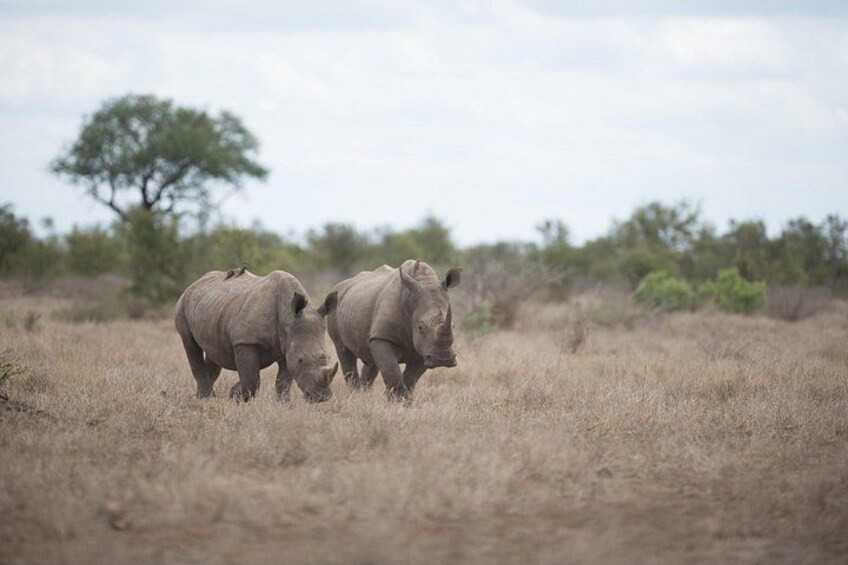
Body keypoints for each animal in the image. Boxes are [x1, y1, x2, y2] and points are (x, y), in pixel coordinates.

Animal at [174, 269, 339, 403]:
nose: (321, 398)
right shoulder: (245, 342)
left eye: (327, 358)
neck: (288, 316)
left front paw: (284, 405)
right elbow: (252, 379)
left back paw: (203, 398)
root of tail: (196, 282)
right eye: (300, 360)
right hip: (182, 303)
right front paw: (235, 396)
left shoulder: (287, 347)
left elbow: (283, 383)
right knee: (190, 344)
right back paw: (205, 398)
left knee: (213, 350)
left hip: (213, 308)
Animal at [327, 259, 461, 400]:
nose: (443, 359)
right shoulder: (383, 337)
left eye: (453, 326)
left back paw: (364, 395)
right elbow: (391, 370)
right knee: (343, 351)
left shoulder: (425, 348)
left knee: (370, 358)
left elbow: (410, 378)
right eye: (420, 327)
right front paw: (397, 400)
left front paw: (400, 400)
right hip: (335, 305)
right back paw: (355, 395)